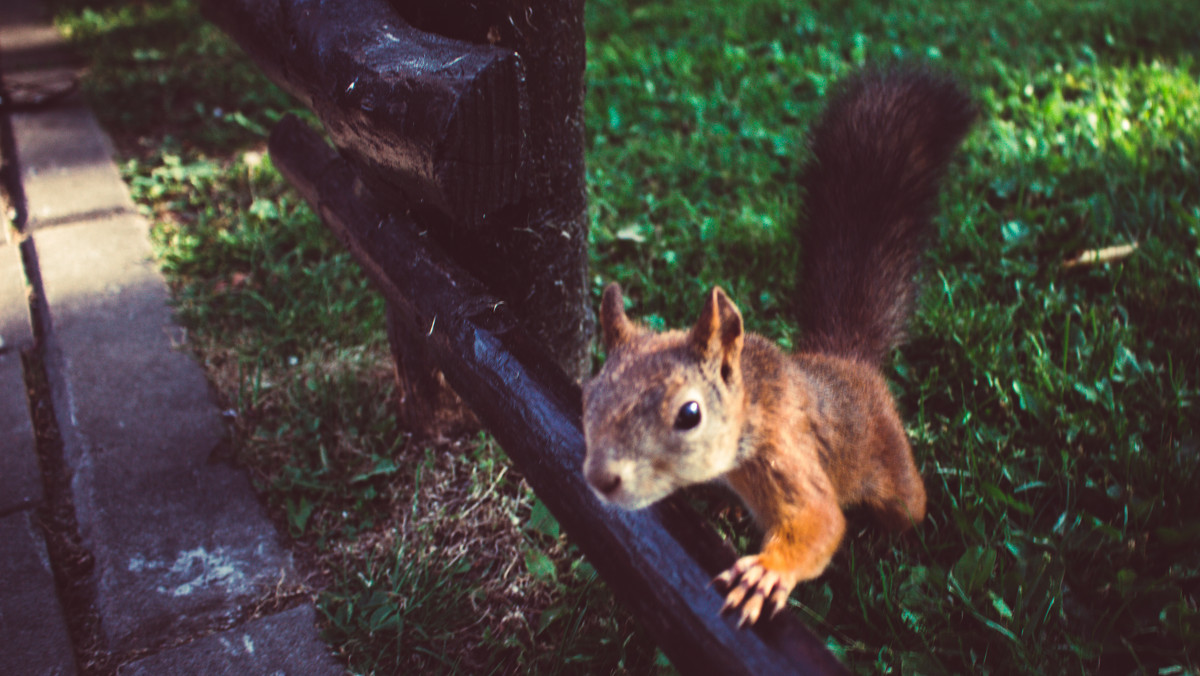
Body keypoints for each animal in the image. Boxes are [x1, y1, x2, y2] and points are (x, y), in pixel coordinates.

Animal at [578, 66, 974, 629]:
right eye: (589, 395)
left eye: (690, 414)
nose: (600, 479)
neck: (751, 407)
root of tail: (847, 361)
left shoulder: (787, 452)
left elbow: (820, 521)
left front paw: (765, 573)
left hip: (894, 469)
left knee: (907, 506)